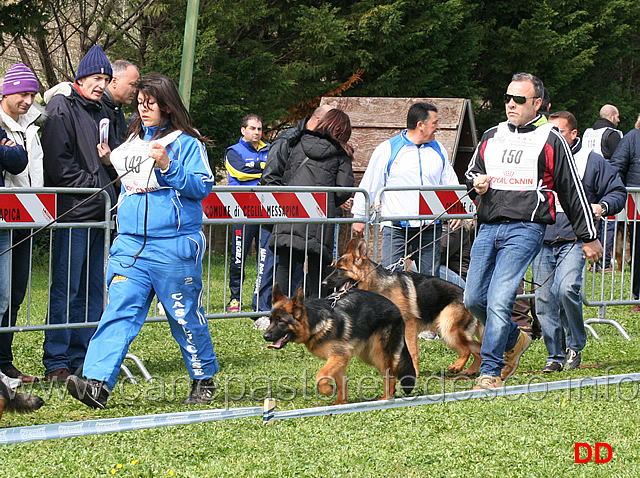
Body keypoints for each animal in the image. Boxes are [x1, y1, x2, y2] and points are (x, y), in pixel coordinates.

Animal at [264, 284, 418, 404]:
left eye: (281, 321)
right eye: (270, 320)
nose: (265, 336)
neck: (315, 322)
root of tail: (397, 309)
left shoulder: (339, 356)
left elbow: (320, 376)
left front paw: (328, 390)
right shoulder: (339, 359)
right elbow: (341, 383)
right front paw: (340, 403)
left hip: (378, 354)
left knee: (390, 377)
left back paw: (385, 398)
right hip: (368, 355)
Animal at [322, 237, 482, 376]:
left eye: (341, 269)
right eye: (334, 267)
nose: (323, 283)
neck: (378, 285)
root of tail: (464, 293)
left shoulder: (409, 326)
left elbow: (412, 351)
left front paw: (414, 373)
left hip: (448, 329)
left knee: (467, 349)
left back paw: (457, 366)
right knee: (478, 348)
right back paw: (471, 371)